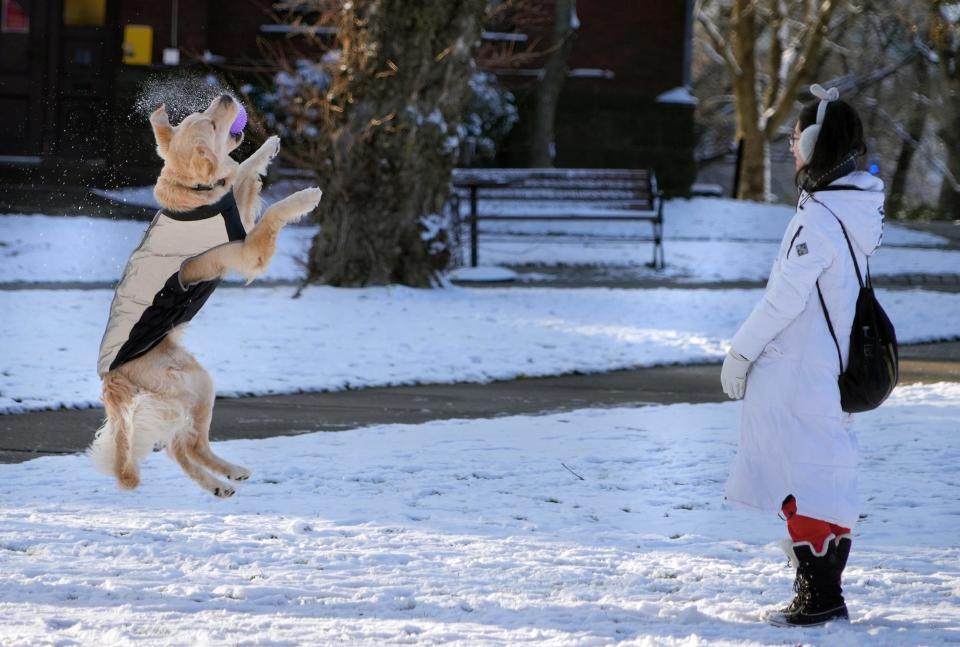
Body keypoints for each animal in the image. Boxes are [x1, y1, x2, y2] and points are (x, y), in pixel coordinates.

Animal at [90, 92, 322, 496]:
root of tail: (110, 381)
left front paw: (268, 145)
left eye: (204, 113)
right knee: (187, 444)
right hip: (192, 384)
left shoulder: (236, 214)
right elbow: (273, 211)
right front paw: (305, 197)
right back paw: (223, 478)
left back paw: (224, 480)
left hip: (195, 383)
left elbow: (244, 171)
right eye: (211, 124)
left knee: (181, 446)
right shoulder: (245, 250)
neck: (194, 194)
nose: (227, 96)